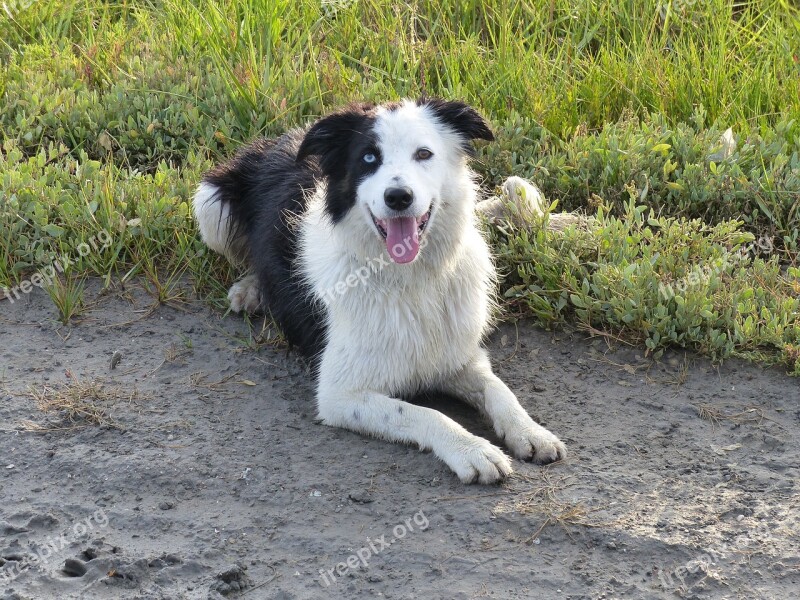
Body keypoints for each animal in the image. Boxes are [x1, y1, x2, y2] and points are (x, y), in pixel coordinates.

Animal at [194, 97, 564, 482]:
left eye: (424, 153)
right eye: (369, 158)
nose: (398, 196)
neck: (410, 280)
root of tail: (288, 135)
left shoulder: (458, 356)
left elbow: (498, 389)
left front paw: (530, 431)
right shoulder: (340, 396)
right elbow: (426, 414)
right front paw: (472, 450)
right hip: (209, 203)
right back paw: (251, 288)